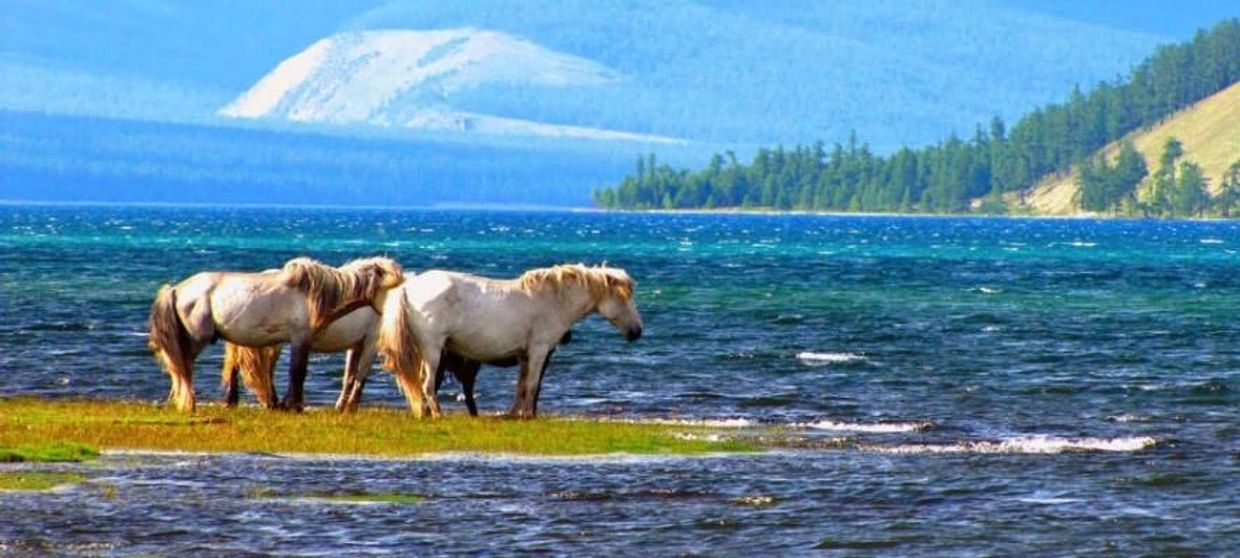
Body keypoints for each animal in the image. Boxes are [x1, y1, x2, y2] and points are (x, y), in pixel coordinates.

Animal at [147, 256, 403, 412]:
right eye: (391, 287)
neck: (315, 294)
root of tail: (176, 289)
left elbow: (345, 375)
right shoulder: (302, 339)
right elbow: (298, 372)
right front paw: (296, 406)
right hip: (195, 340)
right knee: (184, 367)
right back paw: (191, 403)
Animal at [377, 263, 642, 419]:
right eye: (623, 298)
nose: (637, 332)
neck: (553, 300)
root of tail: (408, 286)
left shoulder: (525, 355)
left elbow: (521, 386)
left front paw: (515, 414)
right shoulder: (539, 351)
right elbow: (532, 385)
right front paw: (528, 416)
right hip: (433, 349)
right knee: (428, 384)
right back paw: (438, 415)